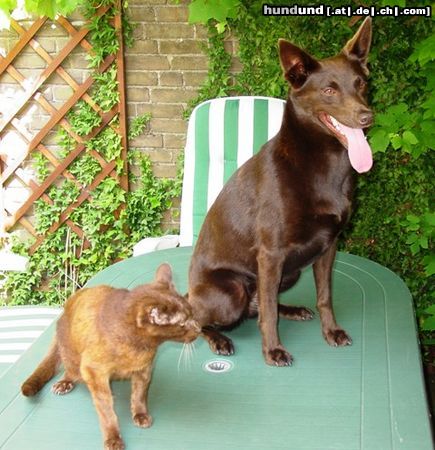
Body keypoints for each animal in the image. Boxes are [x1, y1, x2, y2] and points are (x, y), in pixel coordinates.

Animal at [21, 264, 200, 450]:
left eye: (192, 314)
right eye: (182, 323)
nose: (199, 328)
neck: (138, 349)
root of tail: (63, 313)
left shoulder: (144, 370)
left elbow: (139, 395)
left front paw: (140, 415)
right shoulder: (94, 372)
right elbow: (106, 411)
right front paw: (113, 439)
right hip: (73, 356)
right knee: (69, 370)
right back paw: (63, 384)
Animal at [187, 19, 374, 368]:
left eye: (361, 84)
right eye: (329, 90)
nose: (367, 117)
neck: (322, 164)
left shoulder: (328, 247)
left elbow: (324, 297)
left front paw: (331, 331)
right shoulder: (271, 254)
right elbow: (268, 314)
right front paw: (273, 350)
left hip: (291, 272)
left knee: (261, 303)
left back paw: (294, 310)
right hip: (232, 290)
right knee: (203, 320)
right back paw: (219, 339)